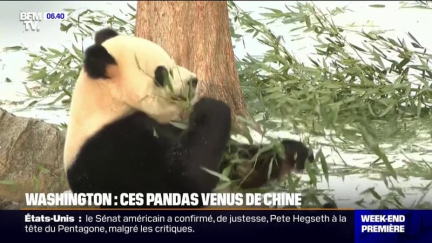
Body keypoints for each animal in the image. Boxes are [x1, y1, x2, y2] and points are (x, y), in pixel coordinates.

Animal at [64, 28, 314, 207]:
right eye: (162, 73)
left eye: (173, 60)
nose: (193, 80)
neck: (109, 107)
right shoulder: (115, 150)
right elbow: (179, 185)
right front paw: (209, 107)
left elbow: (236, 164)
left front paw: (292, 152)